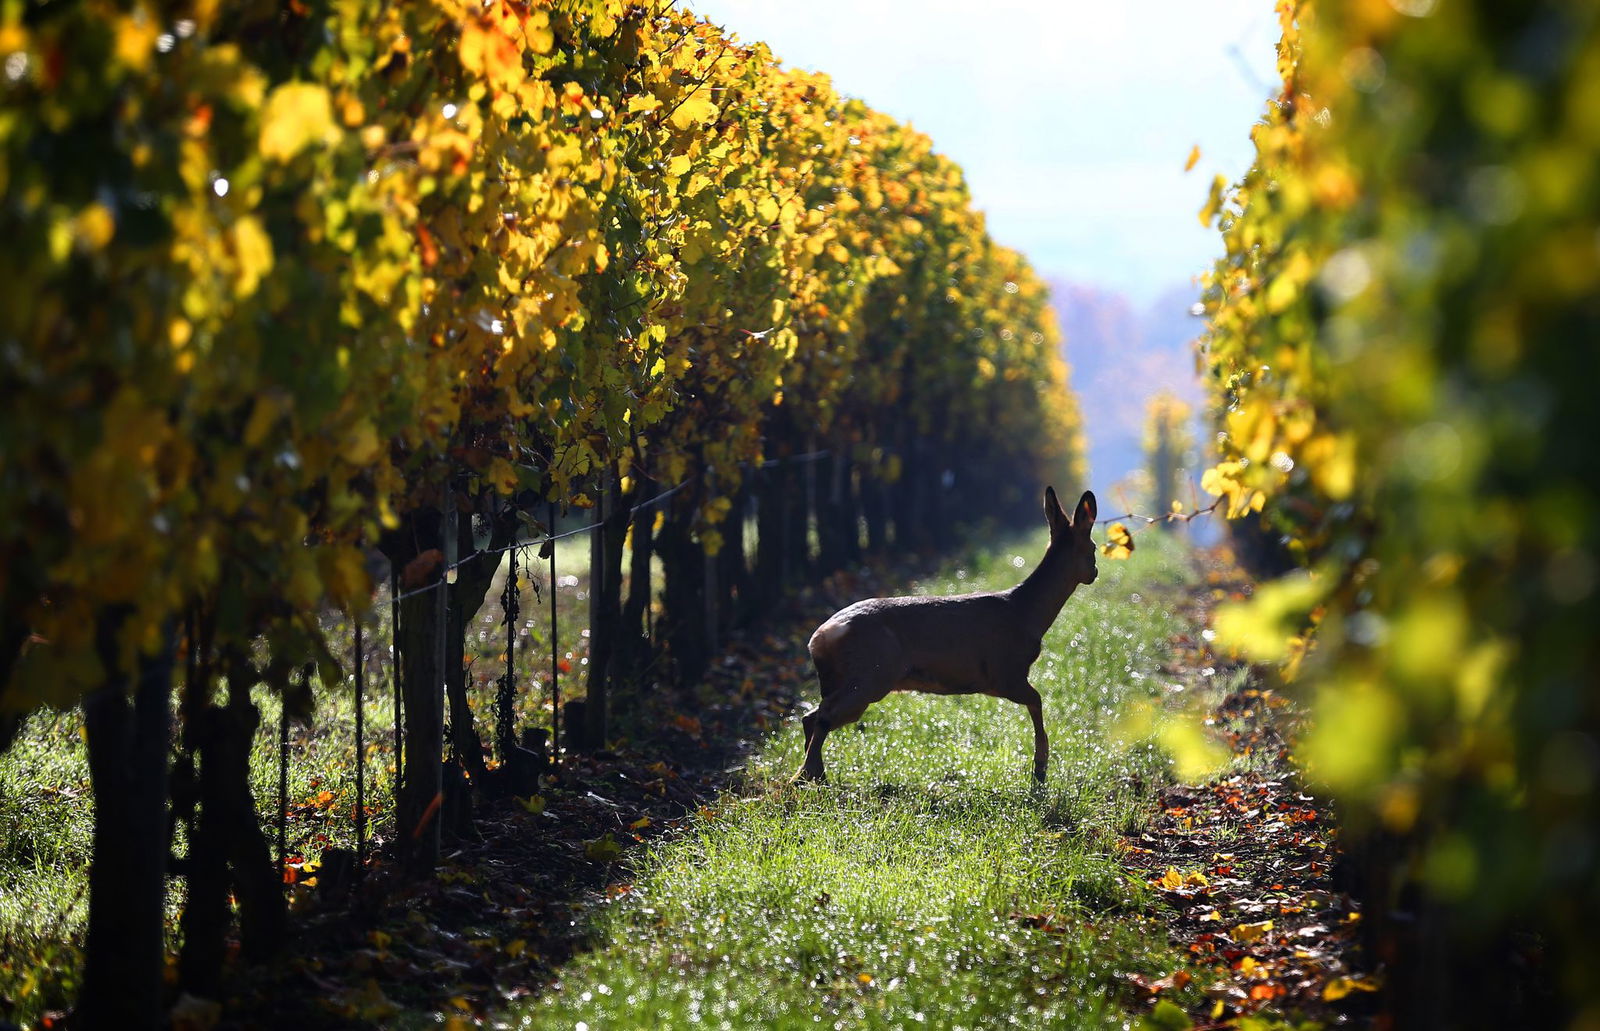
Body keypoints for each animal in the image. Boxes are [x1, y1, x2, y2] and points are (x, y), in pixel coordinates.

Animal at [795, 488, 1098, 785]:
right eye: (1093, 548)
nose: (1095, 572)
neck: (1026, 613)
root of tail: (819, 637)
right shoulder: (1005, 672)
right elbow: (1037, 701)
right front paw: (1040, 767)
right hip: (872, 673)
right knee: (823, 716)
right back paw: (804, 776)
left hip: (852, 677)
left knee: (810, 716)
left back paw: (815, 776)